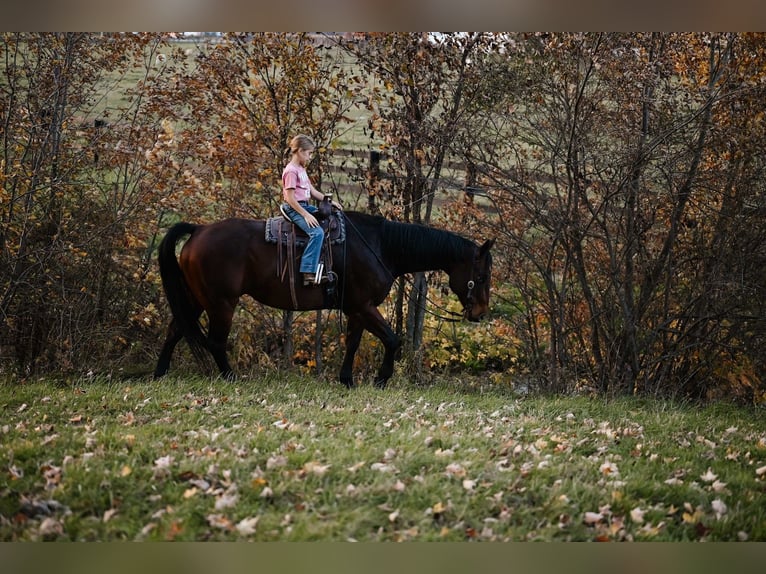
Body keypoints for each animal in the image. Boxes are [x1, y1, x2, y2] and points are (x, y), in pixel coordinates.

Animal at [154, 209, 498, 390]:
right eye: (481, 277)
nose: (480, 312)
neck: (380, 247)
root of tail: (198, 230)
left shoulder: (357, 309)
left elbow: (353, 343)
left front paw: (347, 379)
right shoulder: (364, 306)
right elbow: (392, 339)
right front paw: (381, 378)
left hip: (196, 298)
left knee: (174, 330)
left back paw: (159, 374)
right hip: (221, 303)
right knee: (214, 341)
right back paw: (230, 377)